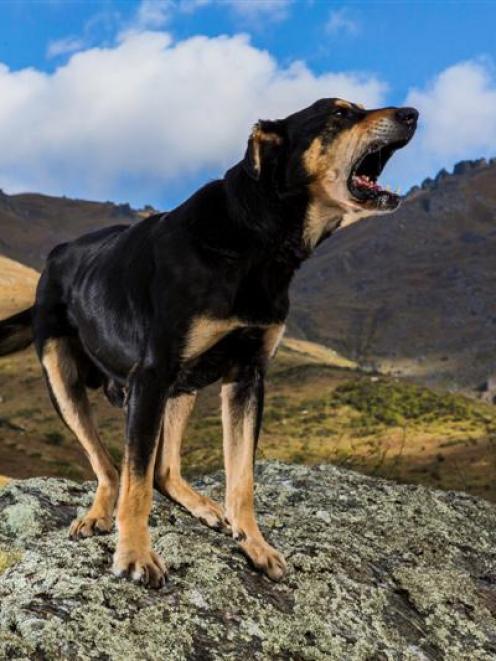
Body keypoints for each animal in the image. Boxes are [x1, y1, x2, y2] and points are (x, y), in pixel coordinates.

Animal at [0, 96, 416, 584]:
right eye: (338, 114)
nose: (411, 114)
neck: (258, 236)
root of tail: (57, 255)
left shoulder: (246, 378)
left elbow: (241, 479)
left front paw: (254, 544)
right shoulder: (151, 375)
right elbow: (135, 481)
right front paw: (135, 553)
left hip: (183, 386)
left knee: (163, 470)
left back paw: (200, 506)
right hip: (62, 376)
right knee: (109, 467)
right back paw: (98, 514)